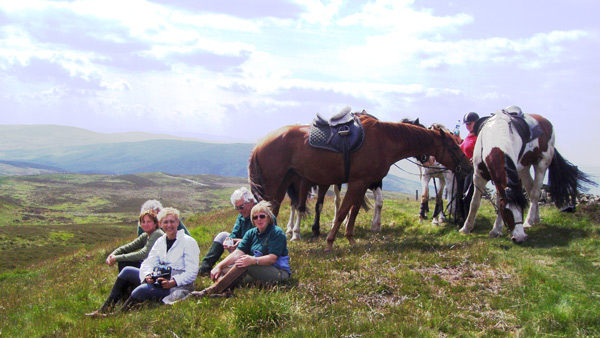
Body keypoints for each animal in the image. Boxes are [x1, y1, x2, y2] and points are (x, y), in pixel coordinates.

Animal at [246, 113, 472, 251]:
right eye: (453, 146)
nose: (468, 166)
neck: (384, 140)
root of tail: (259, 144)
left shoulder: (363, 183)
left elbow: (352, 211)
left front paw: (350, 238)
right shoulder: (357, 182)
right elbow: (343, 211)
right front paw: (330, 242)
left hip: (283, 186)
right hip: (279, 186)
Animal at [460, 107, 596, 242]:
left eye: (521, 208)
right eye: (507, 211)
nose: (520, 237)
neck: (495, 137)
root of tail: (545, 122)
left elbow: (497, 201)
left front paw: (496, 229)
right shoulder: (479, 176)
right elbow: (475, 203)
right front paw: (466, 228)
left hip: (541, 164)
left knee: (535, 193)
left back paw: (529, 221)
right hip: (523, 170)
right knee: (531, 190)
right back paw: (536, 219)